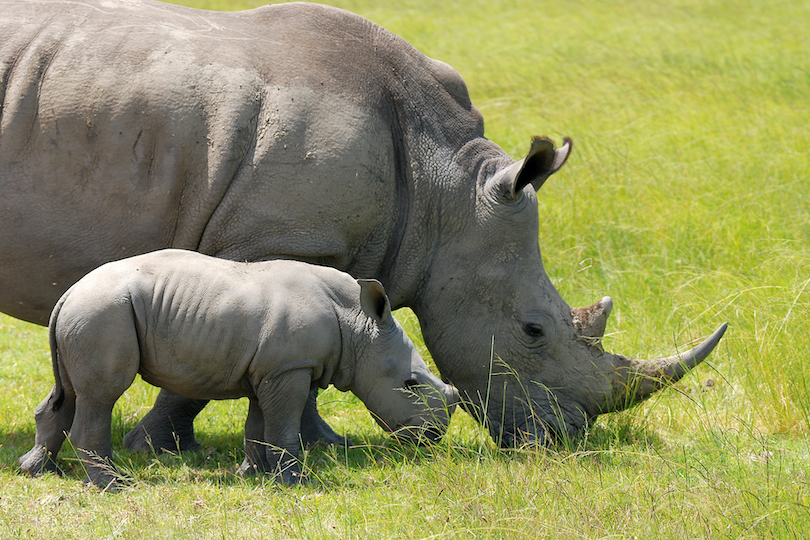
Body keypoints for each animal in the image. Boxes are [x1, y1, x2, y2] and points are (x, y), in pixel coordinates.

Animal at [17, 251, 454, 488]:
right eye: (410, 383)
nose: (433, 436)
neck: (358, 324)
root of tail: (68, 293)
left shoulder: (272, 369)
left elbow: (259, 426)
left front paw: (253, 475)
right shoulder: (289, 369)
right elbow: (283, 427)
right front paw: (296, 483)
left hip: (89, 313)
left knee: (70, 392)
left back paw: (38, 471)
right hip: (103, 311)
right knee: (102, 395)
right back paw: (115, 487)